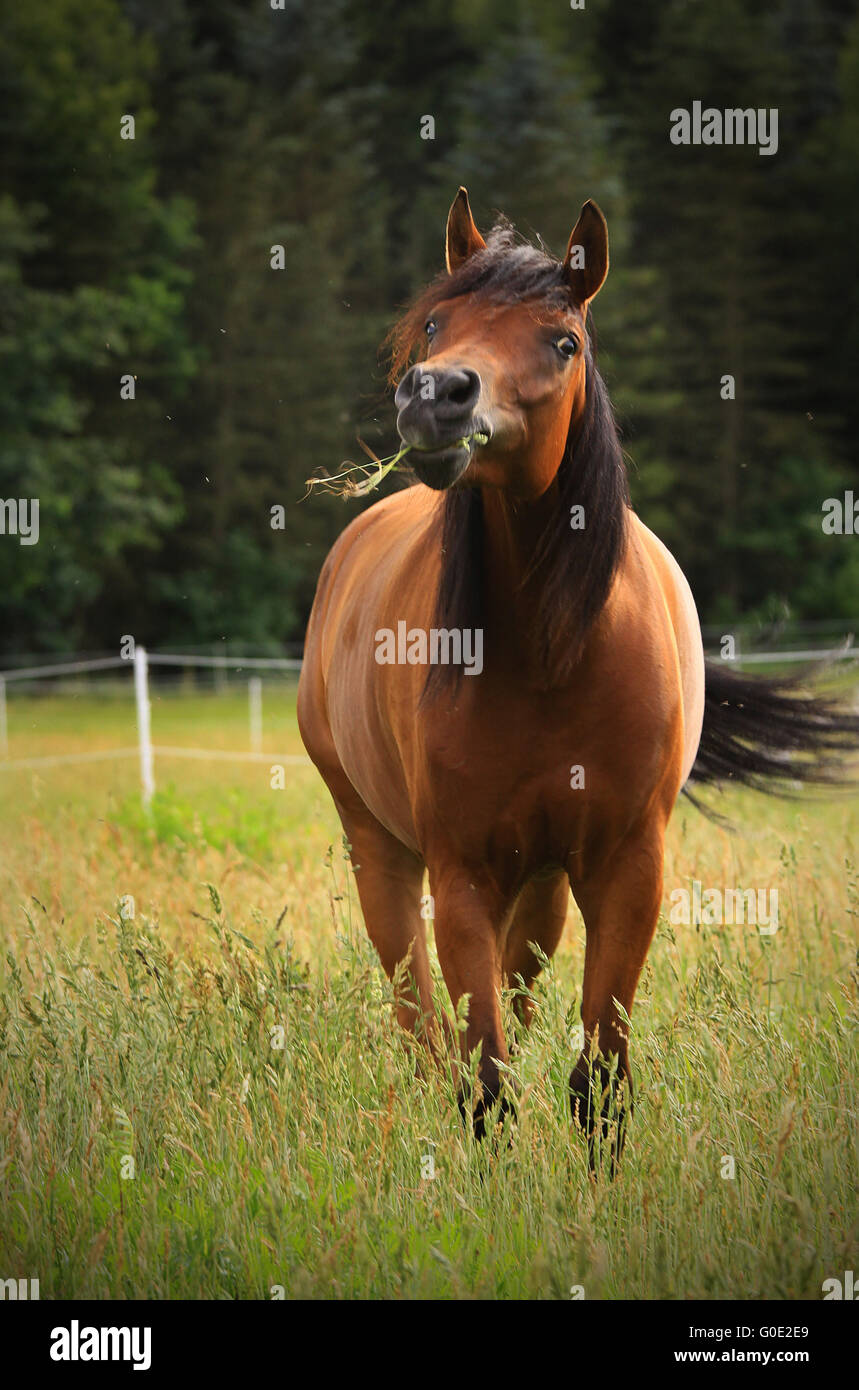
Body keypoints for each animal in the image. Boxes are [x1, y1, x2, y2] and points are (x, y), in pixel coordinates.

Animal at [296, 184, 856, 1162]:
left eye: (563, 341)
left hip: (544, 880)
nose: (435, 395)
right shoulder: (462, 875)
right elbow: (484, 1080)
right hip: (380, 849)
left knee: (511, 995)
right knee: (420, 1016)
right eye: (435, 322)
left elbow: (598, 1076)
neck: (550, 654)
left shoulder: (626, 870)